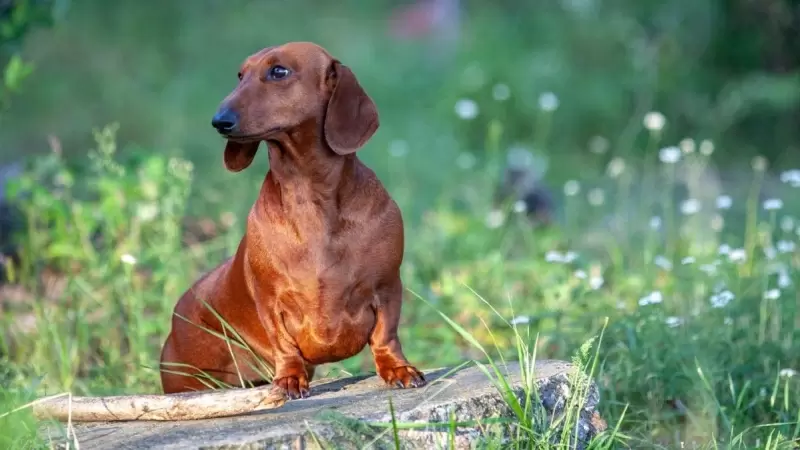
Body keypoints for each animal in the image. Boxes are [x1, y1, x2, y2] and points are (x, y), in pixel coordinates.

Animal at [159, 40, 428, 398]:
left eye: (279, 71)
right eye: (240, 75)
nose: (219, 121)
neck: (310, 193)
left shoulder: (386, 287)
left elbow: (386, 334)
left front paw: (397, 368)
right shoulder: (271, 301)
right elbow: (283, 343)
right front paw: (289, 378)